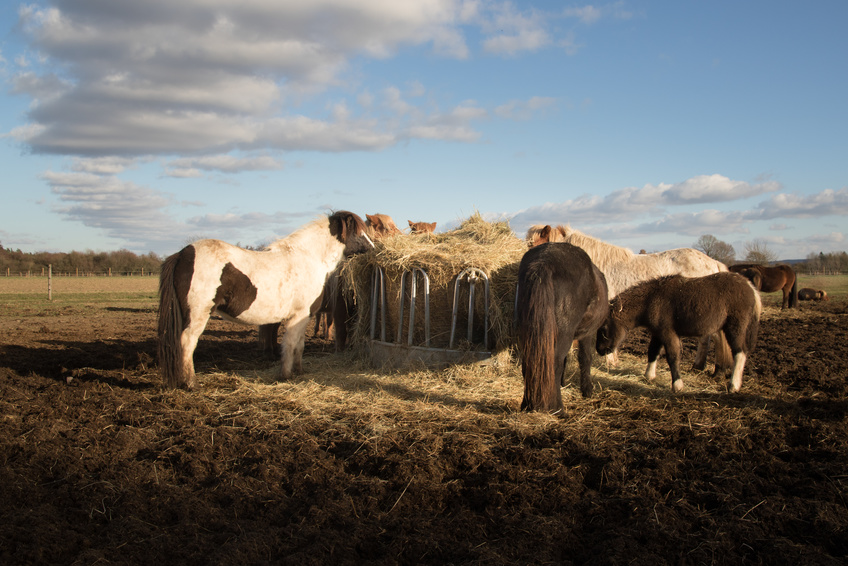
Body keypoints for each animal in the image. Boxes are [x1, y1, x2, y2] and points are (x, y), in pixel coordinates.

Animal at [157, 212, 372, 390]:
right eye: (360, 233)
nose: (373, 248)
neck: (309, 258)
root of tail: (183, 254)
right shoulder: (299, 315)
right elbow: (290, 345)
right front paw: (286, 375)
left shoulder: (305, 317)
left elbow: (300, 345)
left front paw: (299, 370)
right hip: (198, 315)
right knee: (186, 343)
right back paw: (191, 383)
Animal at [512, 243, 608, 412]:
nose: (604, 350)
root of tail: (544, 261)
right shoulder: (586, 334)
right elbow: (585, 358)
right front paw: (587, 390)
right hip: (564, 334)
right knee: (554, 364)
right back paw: (558, 409)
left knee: (530, 362)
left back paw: (527, 404)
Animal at [596, 272, 760, 392]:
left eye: (603, 329)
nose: (600, 350)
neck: (652, 299)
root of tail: (750, 287)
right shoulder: (657, 333)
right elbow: (653, 352)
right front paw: (649, 376)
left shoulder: (668, 333)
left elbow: (673, 357)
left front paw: (677, 385)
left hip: (735, 327)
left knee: (740, 352)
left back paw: (733, 385)